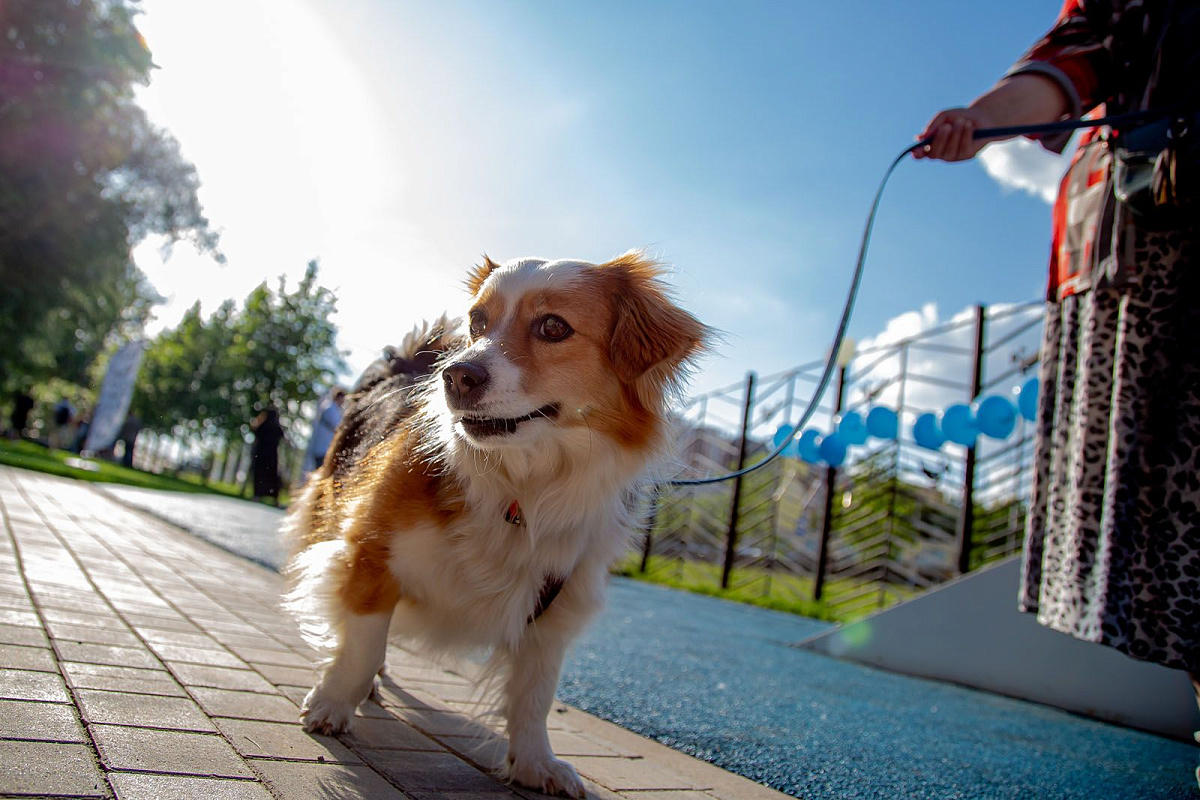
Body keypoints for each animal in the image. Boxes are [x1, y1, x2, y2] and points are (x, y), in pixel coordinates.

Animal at [282, 250, 705, 796]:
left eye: (553, 327)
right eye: (477, 322)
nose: (456, 376)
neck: (523, 485)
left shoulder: (557, 604)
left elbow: (535, 694)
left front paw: (535, 763)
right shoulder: (369, 547)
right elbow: (363, 642)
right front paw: (334, 702)